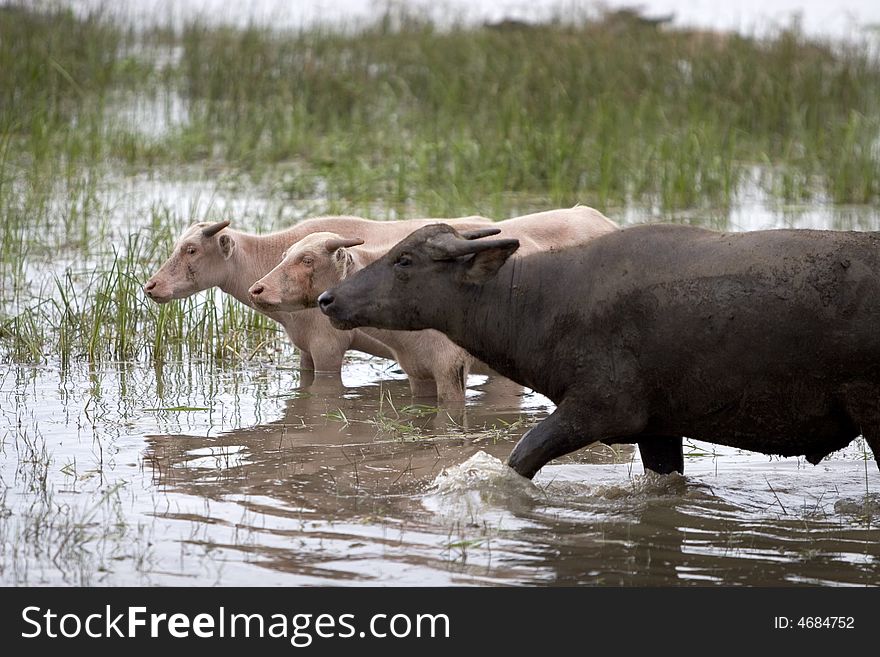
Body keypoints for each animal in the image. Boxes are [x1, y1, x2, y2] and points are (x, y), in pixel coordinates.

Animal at [320, 223, 880, 480]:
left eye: (405, 260)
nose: (328, 299)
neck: (539, 307)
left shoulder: (600, 409)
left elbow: (519, 459)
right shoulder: (659, 425)